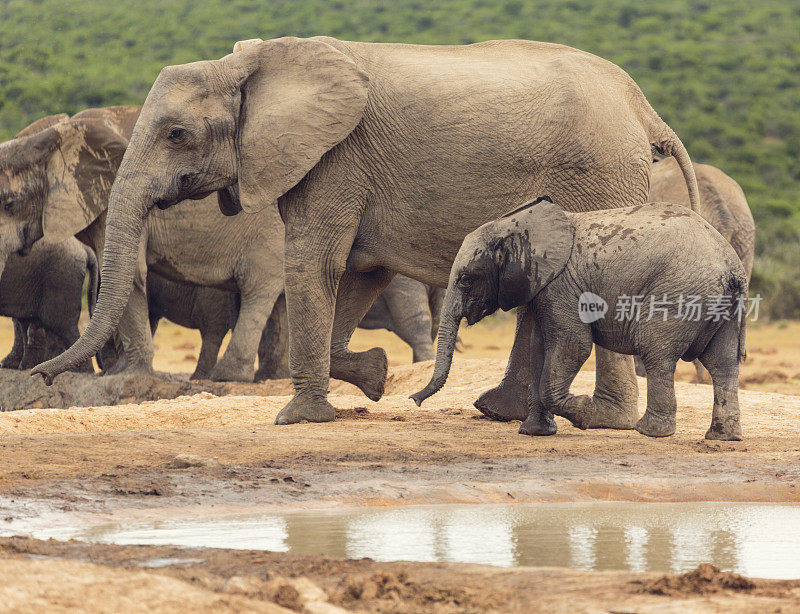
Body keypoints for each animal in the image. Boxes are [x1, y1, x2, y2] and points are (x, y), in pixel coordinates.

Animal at [34, 35, 700, 428]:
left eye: (177, 135)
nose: (42, 376)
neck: (251, 64)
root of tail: (644, 108)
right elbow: (357, 271)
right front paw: (375, 377)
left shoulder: (333, 157)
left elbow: (316, 263)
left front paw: (297, 419)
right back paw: (499, 412)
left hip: (598, 171)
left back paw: (599, 420)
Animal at [416, 201, 748, 442]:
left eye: (465, 279)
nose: (415, 400)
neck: (518, 223)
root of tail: (733, 267)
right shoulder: (542, 288)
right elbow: (540, 348)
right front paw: (534, 433)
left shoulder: (561, 286)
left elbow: (573, 346)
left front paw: (586, 413)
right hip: (723, 308)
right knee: (723, 363)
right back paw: (722, 438)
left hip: (677, 294)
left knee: (657, 354)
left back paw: (650, 432)